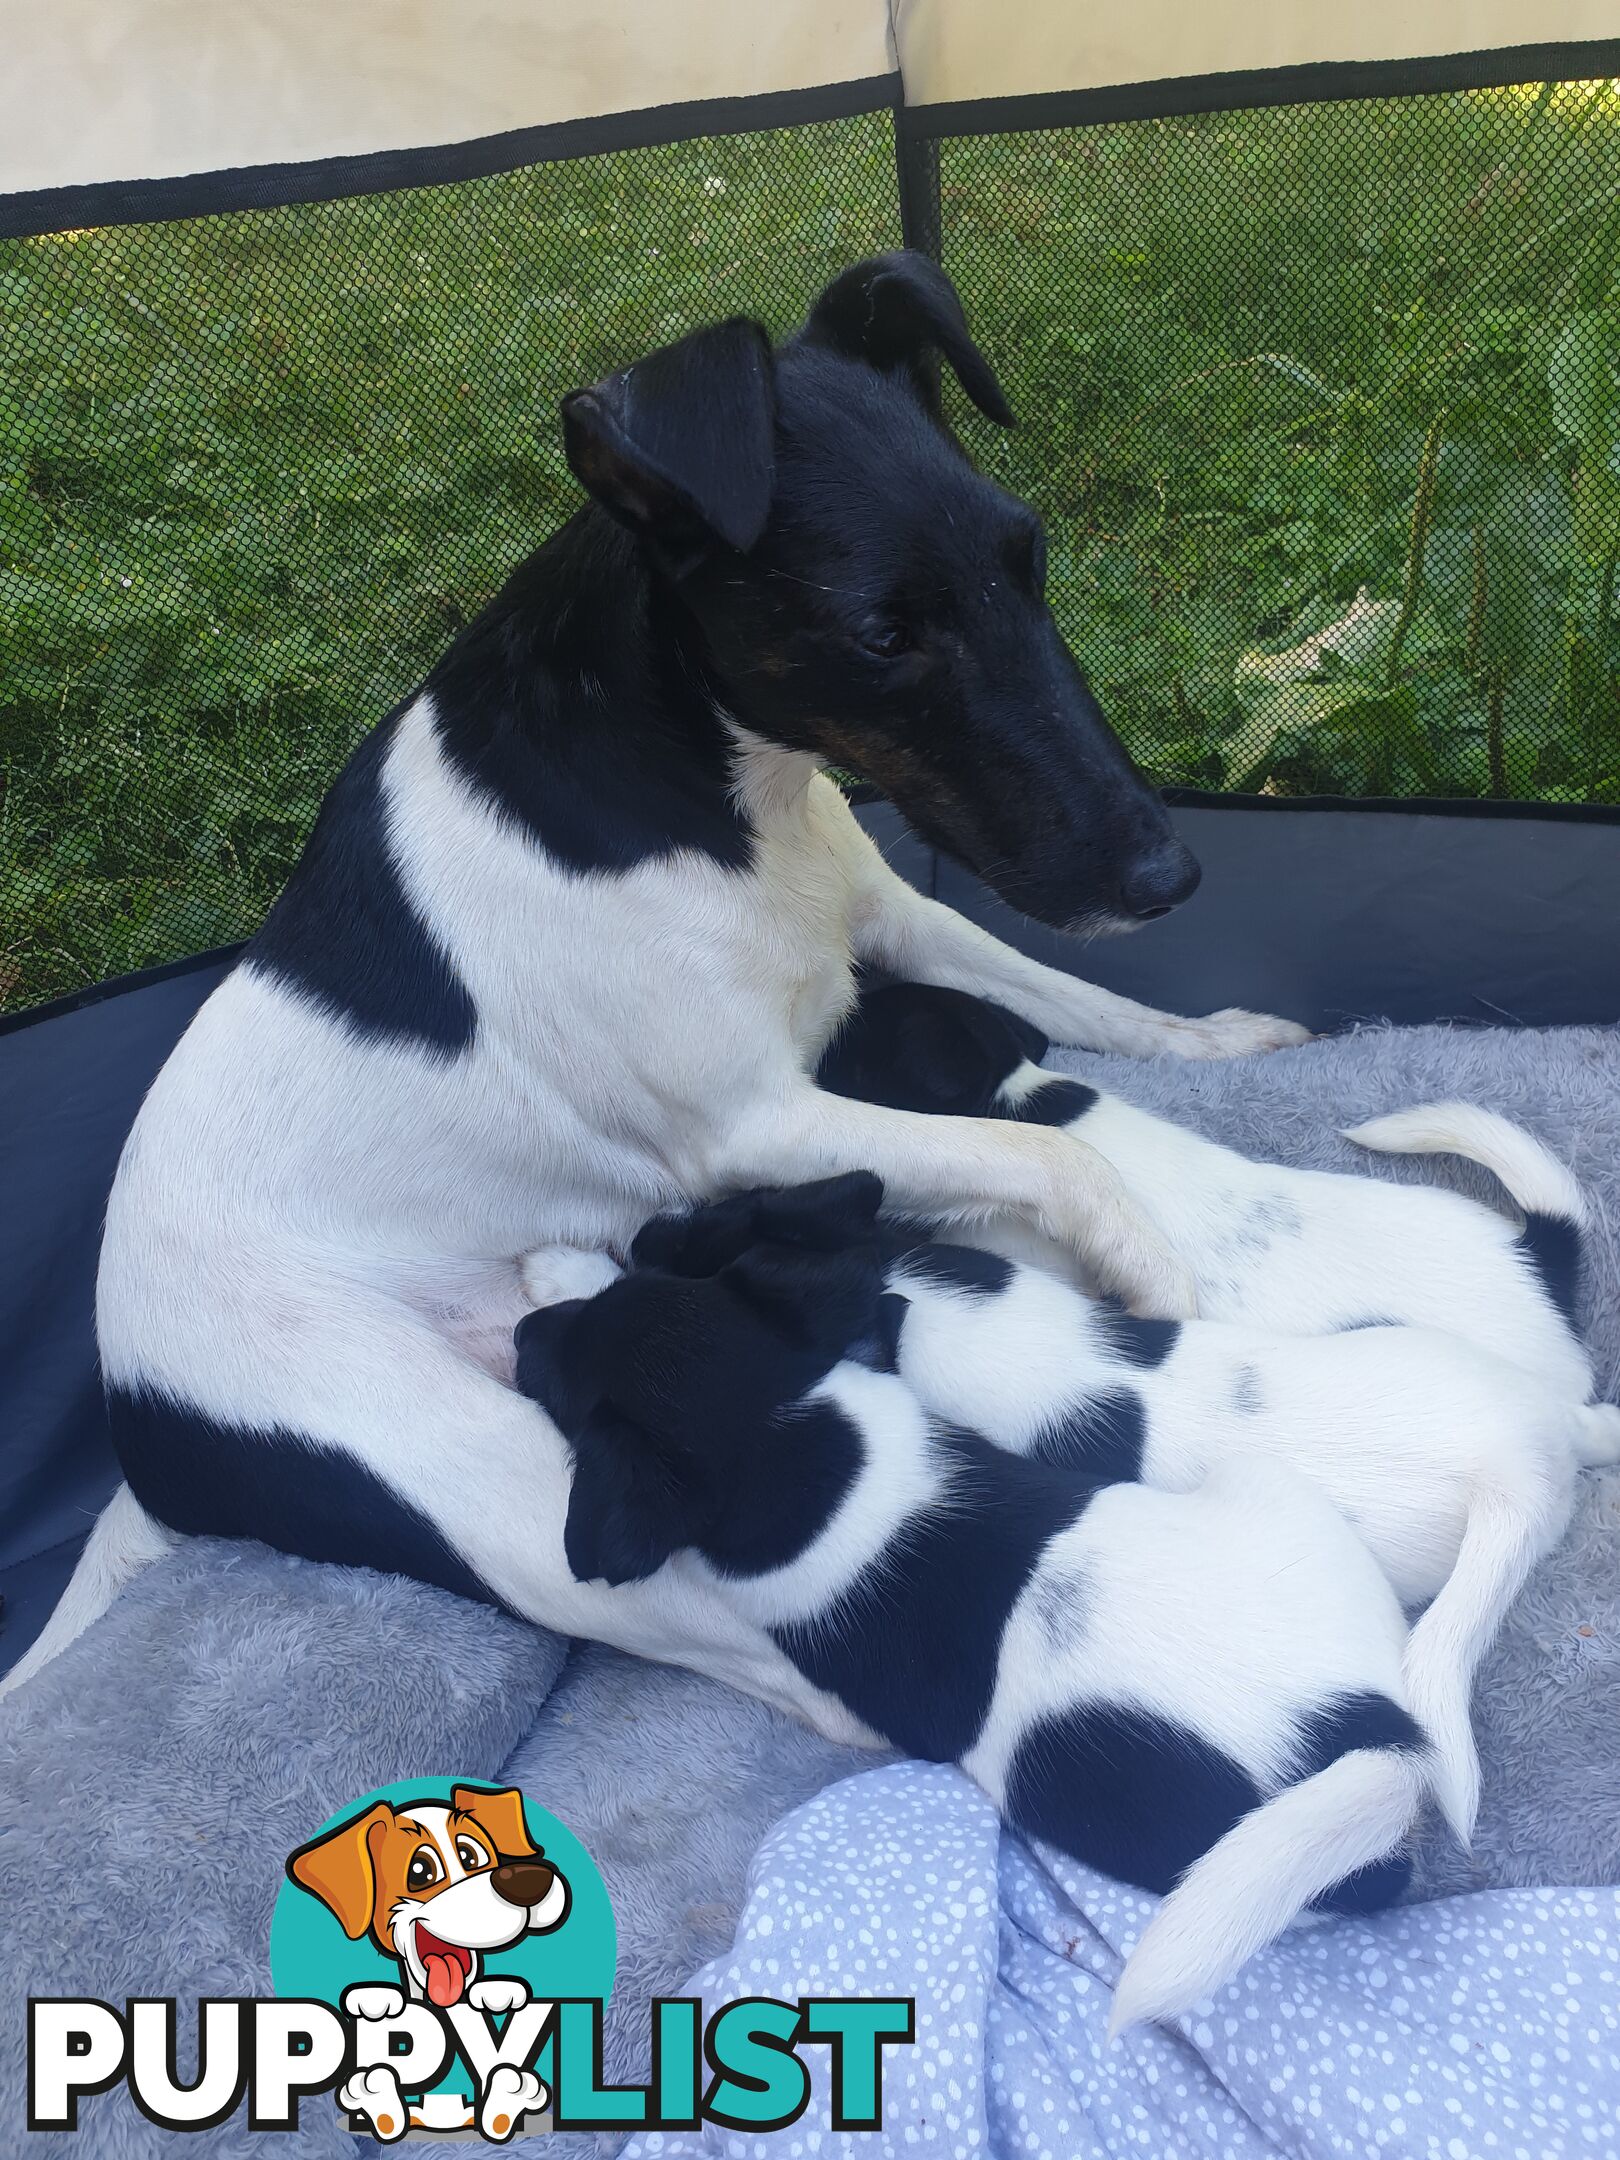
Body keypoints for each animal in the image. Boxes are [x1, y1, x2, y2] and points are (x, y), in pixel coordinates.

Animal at [6, 252, 1304, 1702]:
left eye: (1029, 560)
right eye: (880, 633)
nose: (1166, 874)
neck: (713, 792)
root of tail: (134, 1428)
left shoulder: (889, 914)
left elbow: (1075, 1000)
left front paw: (1217, 1039)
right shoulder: (758, 1124)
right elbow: (1055, 1152)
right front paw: (1155, 1279)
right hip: (494, 1486)